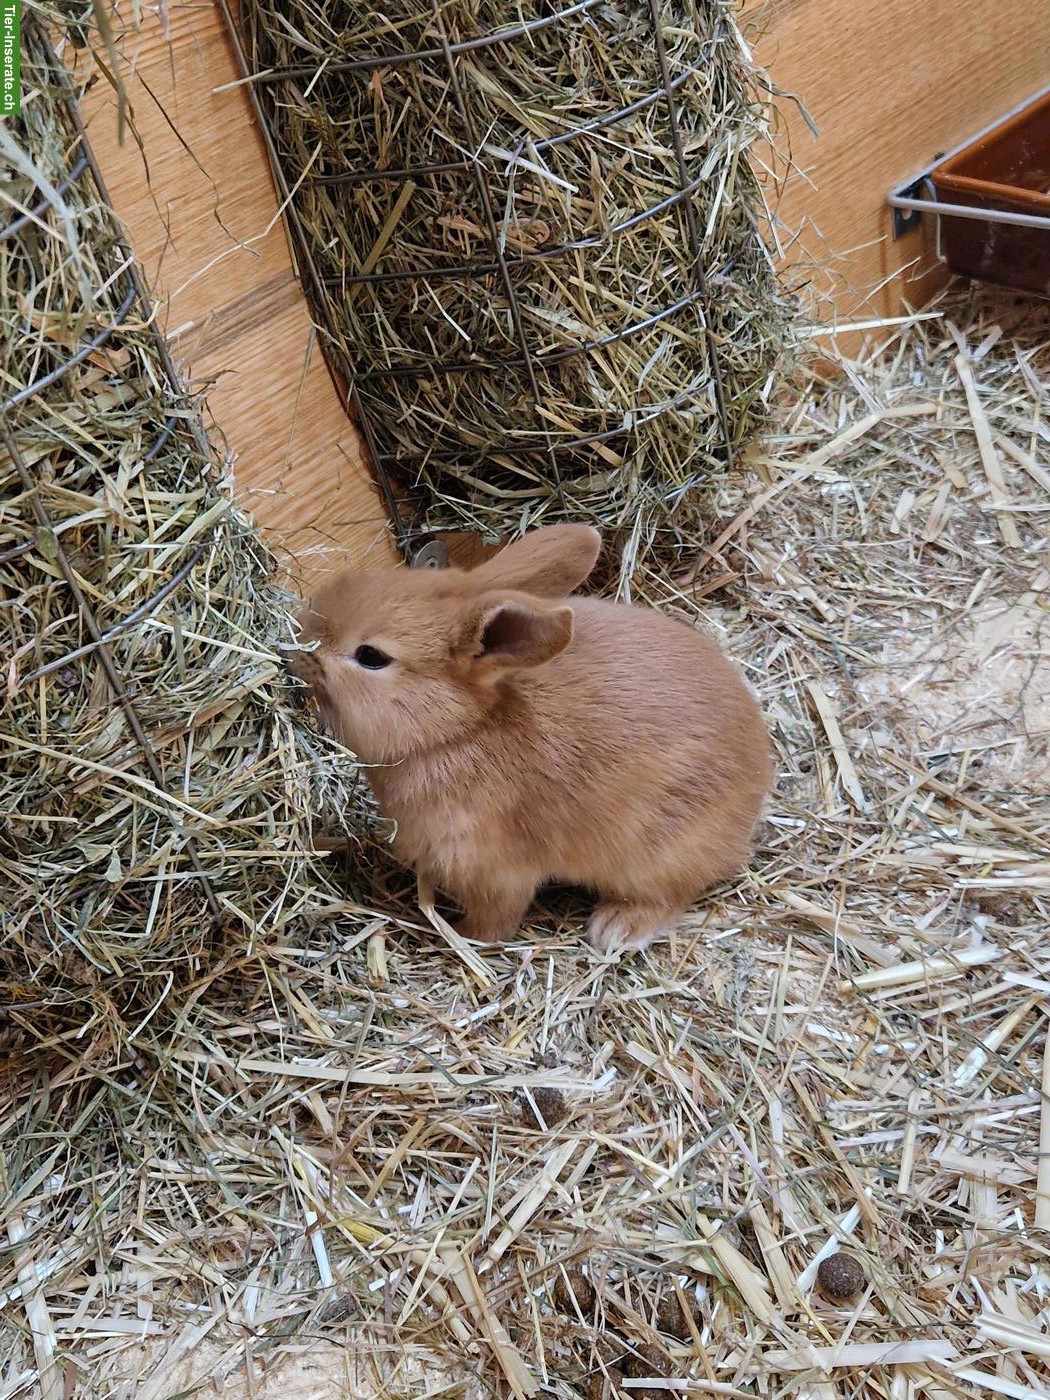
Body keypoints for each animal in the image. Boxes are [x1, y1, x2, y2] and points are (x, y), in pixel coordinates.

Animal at [291, 524, 771, 952]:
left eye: (371, 657)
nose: (298, 636)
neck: (457, 732)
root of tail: (757, 784)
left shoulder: (494, 872)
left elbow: (496, 919)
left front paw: (461, 936)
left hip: (660, 853)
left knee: (673, 892)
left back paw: (616, 929)